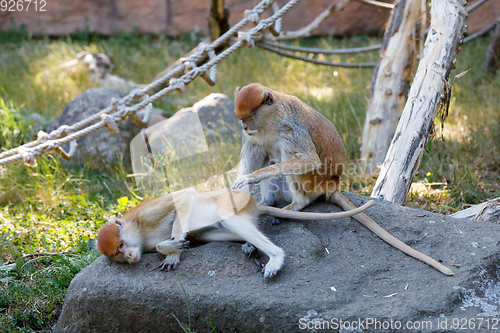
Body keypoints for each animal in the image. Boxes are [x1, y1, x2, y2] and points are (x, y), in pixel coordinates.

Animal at [97, 187, 374, 278]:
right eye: (118, 255)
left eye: (120, 246)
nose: (129, 257)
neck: (137, 230)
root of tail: (254, 202)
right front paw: (173, 251)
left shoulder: (146, 215)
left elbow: (184, 197)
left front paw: (172, 248)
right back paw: (249, 245)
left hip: (234, 200)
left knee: (225, 216)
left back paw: (275, 257)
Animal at [230, 83, 454, 274]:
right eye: (241, 119)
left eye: (249, 117)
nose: (245, 128)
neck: (272, 117)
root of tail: (332, 183)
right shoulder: (257, 136)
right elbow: (255, 151)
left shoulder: (290, 130)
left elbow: (309, 160)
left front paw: (250, 178)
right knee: (265, 154)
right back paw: (268, 204)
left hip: (313, 181)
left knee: (288, 161)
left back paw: (295, 205)